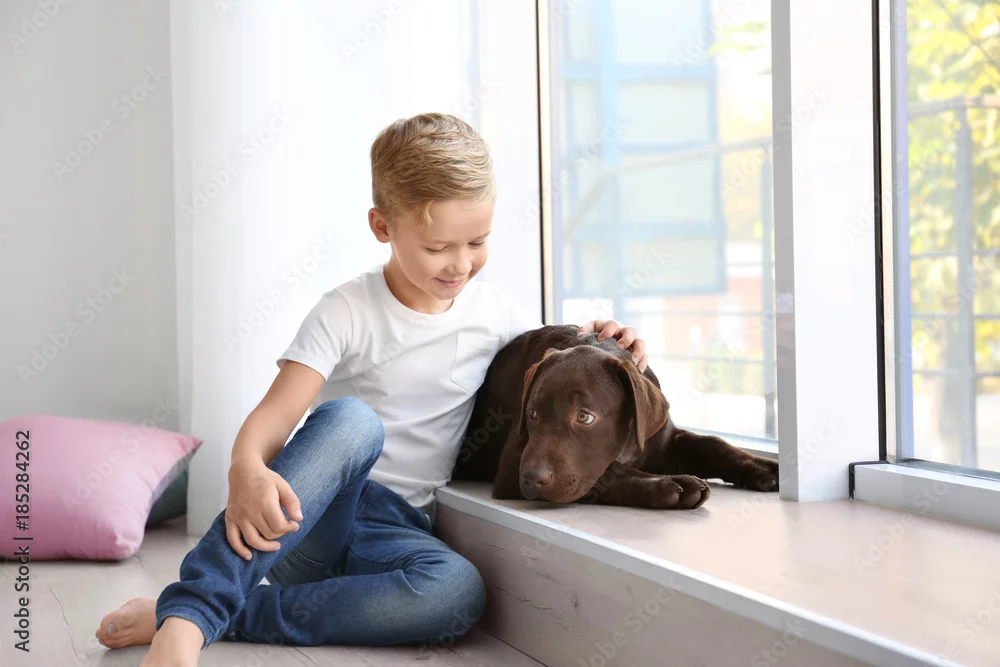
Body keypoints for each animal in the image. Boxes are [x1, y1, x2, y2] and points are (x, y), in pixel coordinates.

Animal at [450, 325, 779, 509]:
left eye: (585, 417)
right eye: (531, 414)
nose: (530, 479)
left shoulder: (662, 439)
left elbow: (711, 444)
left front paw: (763, 468)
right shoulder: (511, 467)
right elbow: (607, 472)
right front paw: (670, 484)